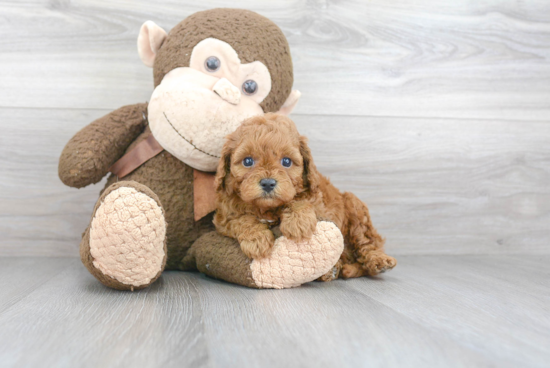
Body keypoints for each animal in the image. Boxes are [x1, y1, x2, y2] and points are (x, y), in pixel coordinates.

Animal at [213, 113, 398, 278]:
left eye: (286, 161)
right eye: (248, 161)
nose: (268, 183)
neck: (267, 209)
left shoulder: (318, 202)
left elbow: (300, 201)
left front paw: (297, 223)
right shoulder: (224, 216)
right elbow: (241, 219)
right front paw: (257, 239)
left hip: (354, 206)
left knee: (366, 243)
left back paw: (378, 261)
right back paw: (334, 270)